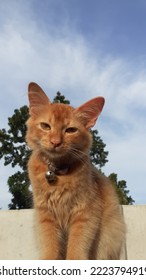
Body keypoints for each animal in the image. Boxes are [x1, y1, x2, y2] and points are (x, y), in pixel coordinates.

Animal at [26, 82, 125, 260]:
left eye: (70, 130)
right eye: (45, 126)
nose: (55, 142)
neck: (57, 172)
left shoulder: (85, 213)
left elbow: (77, 247)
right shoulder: (46, 215)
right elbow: (50, 247)